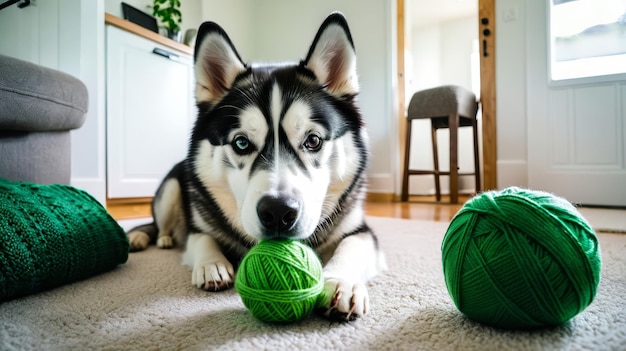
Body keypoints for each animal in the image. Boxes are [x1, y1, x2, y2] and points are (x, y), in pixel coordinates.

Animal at [125, 13, 386, 322]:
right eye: (241, 142)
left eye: (313, 140)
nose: (278, 212)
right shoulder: (198, 224)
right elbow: (200, 238)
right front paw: (212, 264)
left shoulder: (360, 230)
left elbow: (351, 246)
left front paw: (341, 282)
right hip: (172, 190)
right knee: (158, 223)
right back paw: (152, 237)